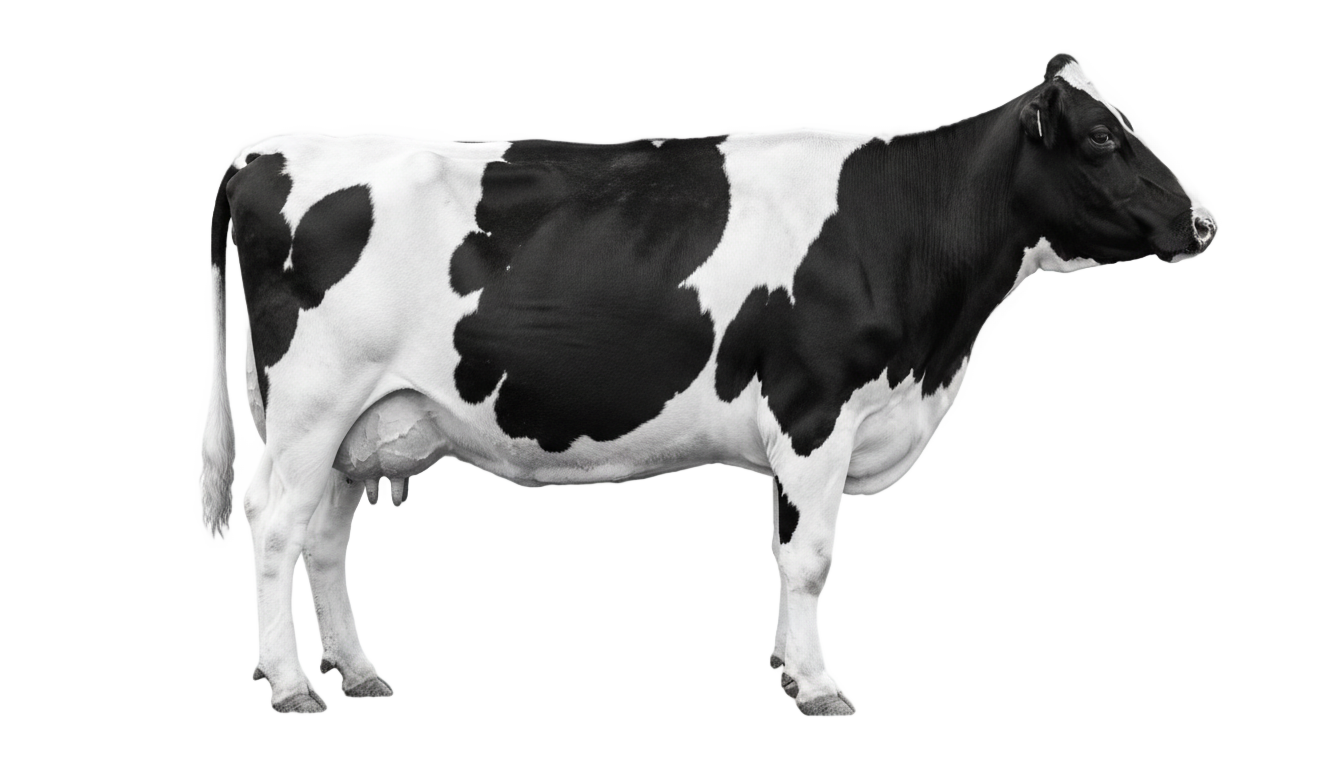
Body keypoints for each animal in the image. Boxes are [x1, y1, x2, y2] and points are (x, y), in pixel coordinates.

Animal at [199, 53, 1216, 722]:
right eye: (1101, 136)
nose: (1200, 222)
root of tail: (262, 157)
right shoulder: (815, 411)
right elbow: (810, 559)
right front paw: (821, 689)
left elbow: (782, 549)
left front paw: (782, 669)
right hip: (311, 408)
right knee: (274, 526)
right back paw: (290, 686)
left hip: (366, 424)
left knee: (322, 543)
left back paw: (355, 673)